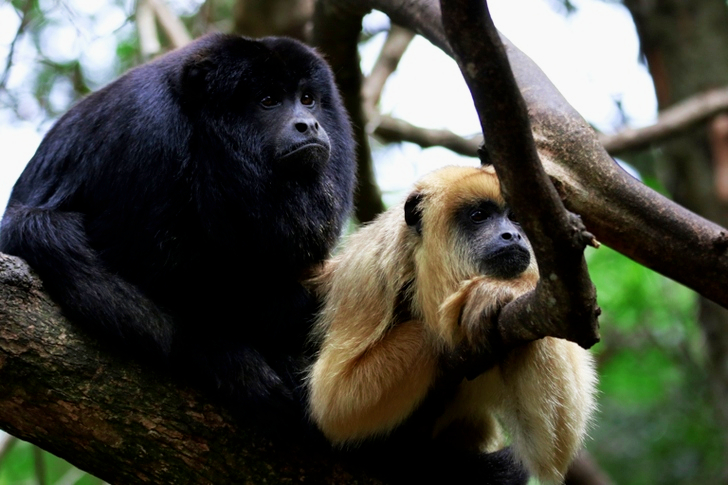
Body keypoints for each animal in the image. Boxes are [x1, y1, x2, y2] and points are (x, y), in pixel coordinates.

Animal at [306, 165, 597, 483]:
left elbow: (553, 446)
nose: (513, 235)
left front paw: (504, 290)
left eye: (515, 217)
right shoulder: (366, 276)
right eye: (479, 215)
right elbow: (336, 405)